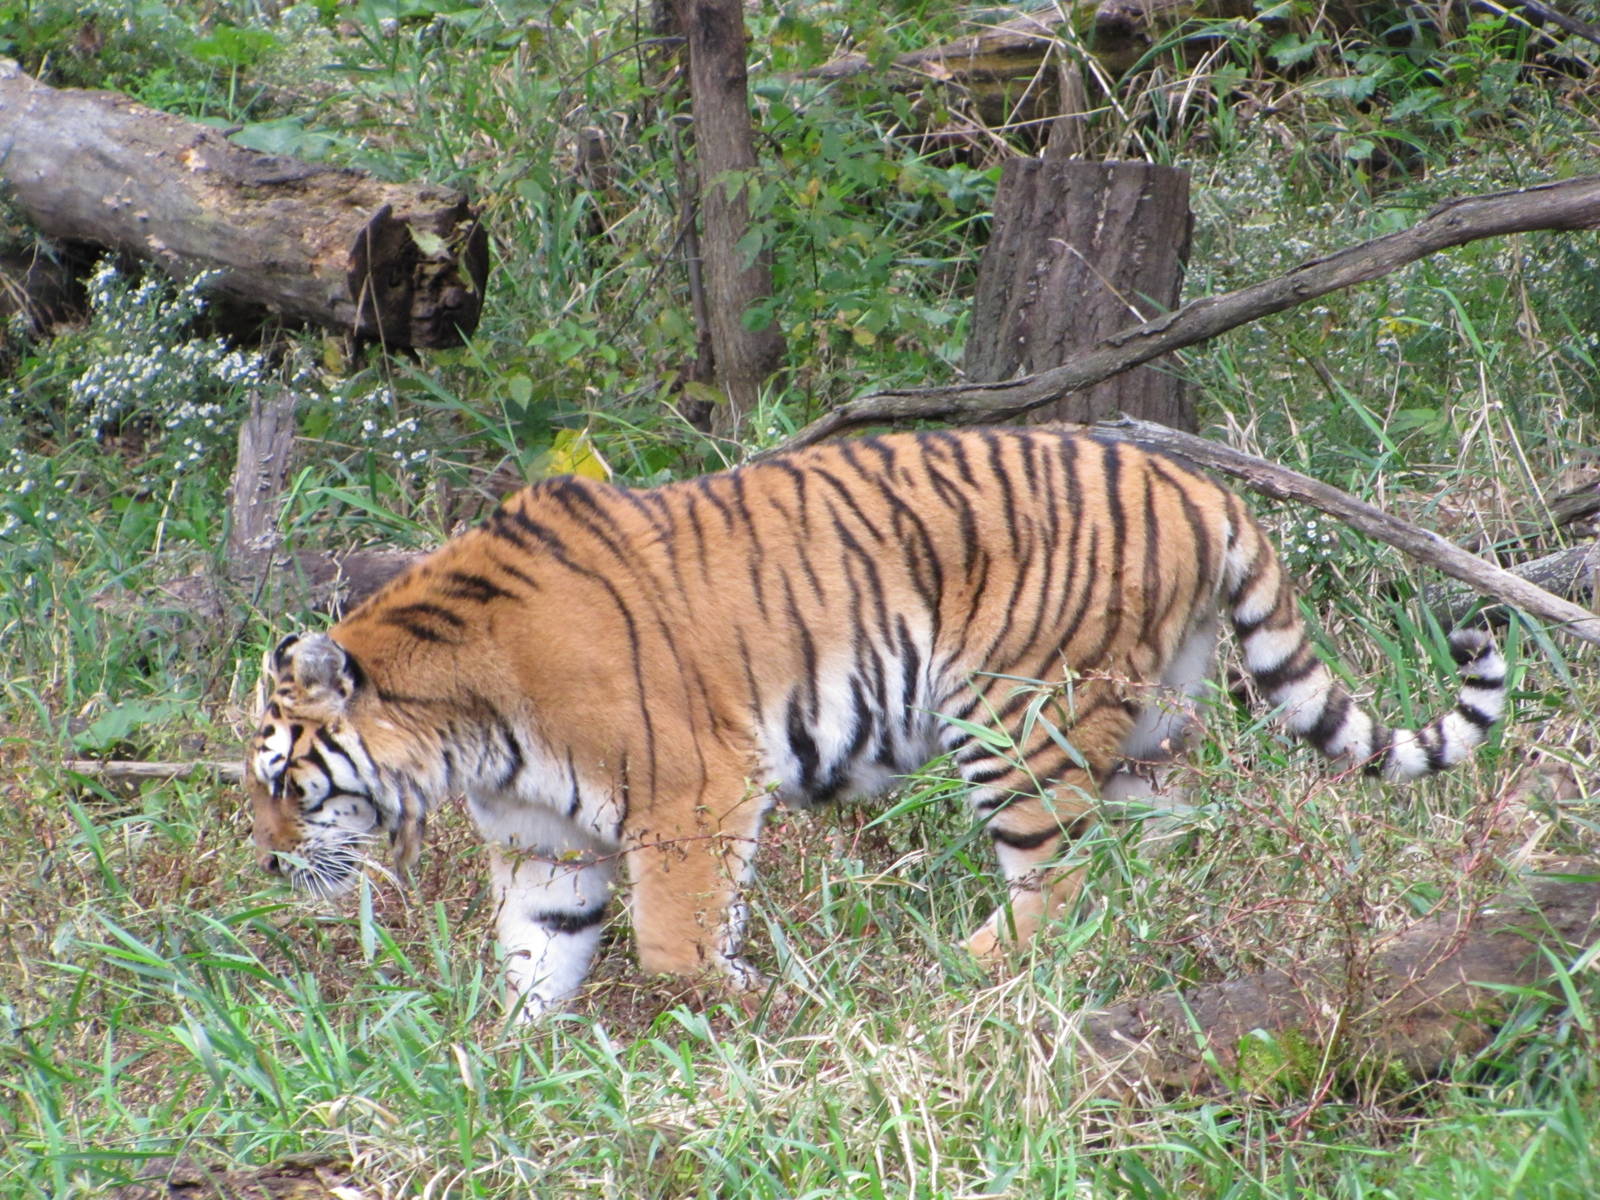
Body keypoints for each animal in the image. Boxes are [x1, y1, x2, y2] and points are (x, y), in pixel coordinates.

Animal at [247, 427, 1506, 1018]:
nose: (263, 868)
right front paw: (509, 1067)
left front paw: (762, 1009)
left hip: (1012, 718)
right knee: (1148, 849)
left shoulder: (694, 792)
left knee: (1053, 883)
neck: (465, 730)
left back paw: (951, 974)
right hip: (1144, 721)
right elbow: (533, 961)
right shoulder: (546, 845)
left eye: (284, 785)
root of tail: (1196, 484)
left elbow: (672, 946)